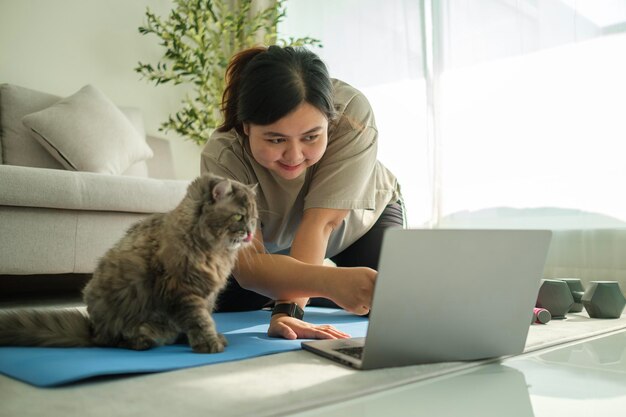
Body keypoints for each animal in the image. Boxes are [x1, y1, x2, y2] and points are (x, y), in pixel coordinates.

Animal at [0, 172, 256, 352]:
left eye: (253, 219)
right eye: (239, 217)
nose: (251, 233)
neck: (213, 251)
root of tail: (94, 331)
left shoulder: (206, 295)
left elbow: (204, 318)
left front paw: (203, 339)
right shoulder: (182, 290)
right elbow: (200, 321)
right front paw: (209, 344)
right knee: (118, 341)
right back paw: (142, 341)